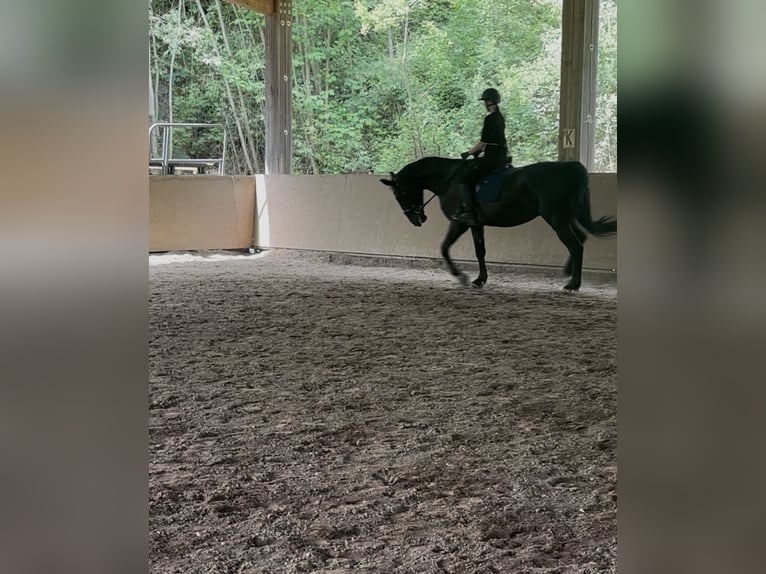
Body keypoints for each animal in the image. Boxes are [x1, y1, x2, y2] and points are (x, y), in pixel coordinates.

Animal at [380, 156, 616, 290]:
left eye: (400, 193)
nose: (417, 220)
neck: (449, 179)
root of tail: (570, 168)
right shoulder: (477, 224)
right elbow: (480, 251)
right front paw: (479, 279)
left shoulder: (461, 223)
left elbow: (444, 247)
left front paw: (461, 276)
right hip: (565, 216)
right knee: (581, 238)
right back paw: (568, 273)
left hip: (556, 218)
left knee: (576, 245)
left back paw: (573, 284)